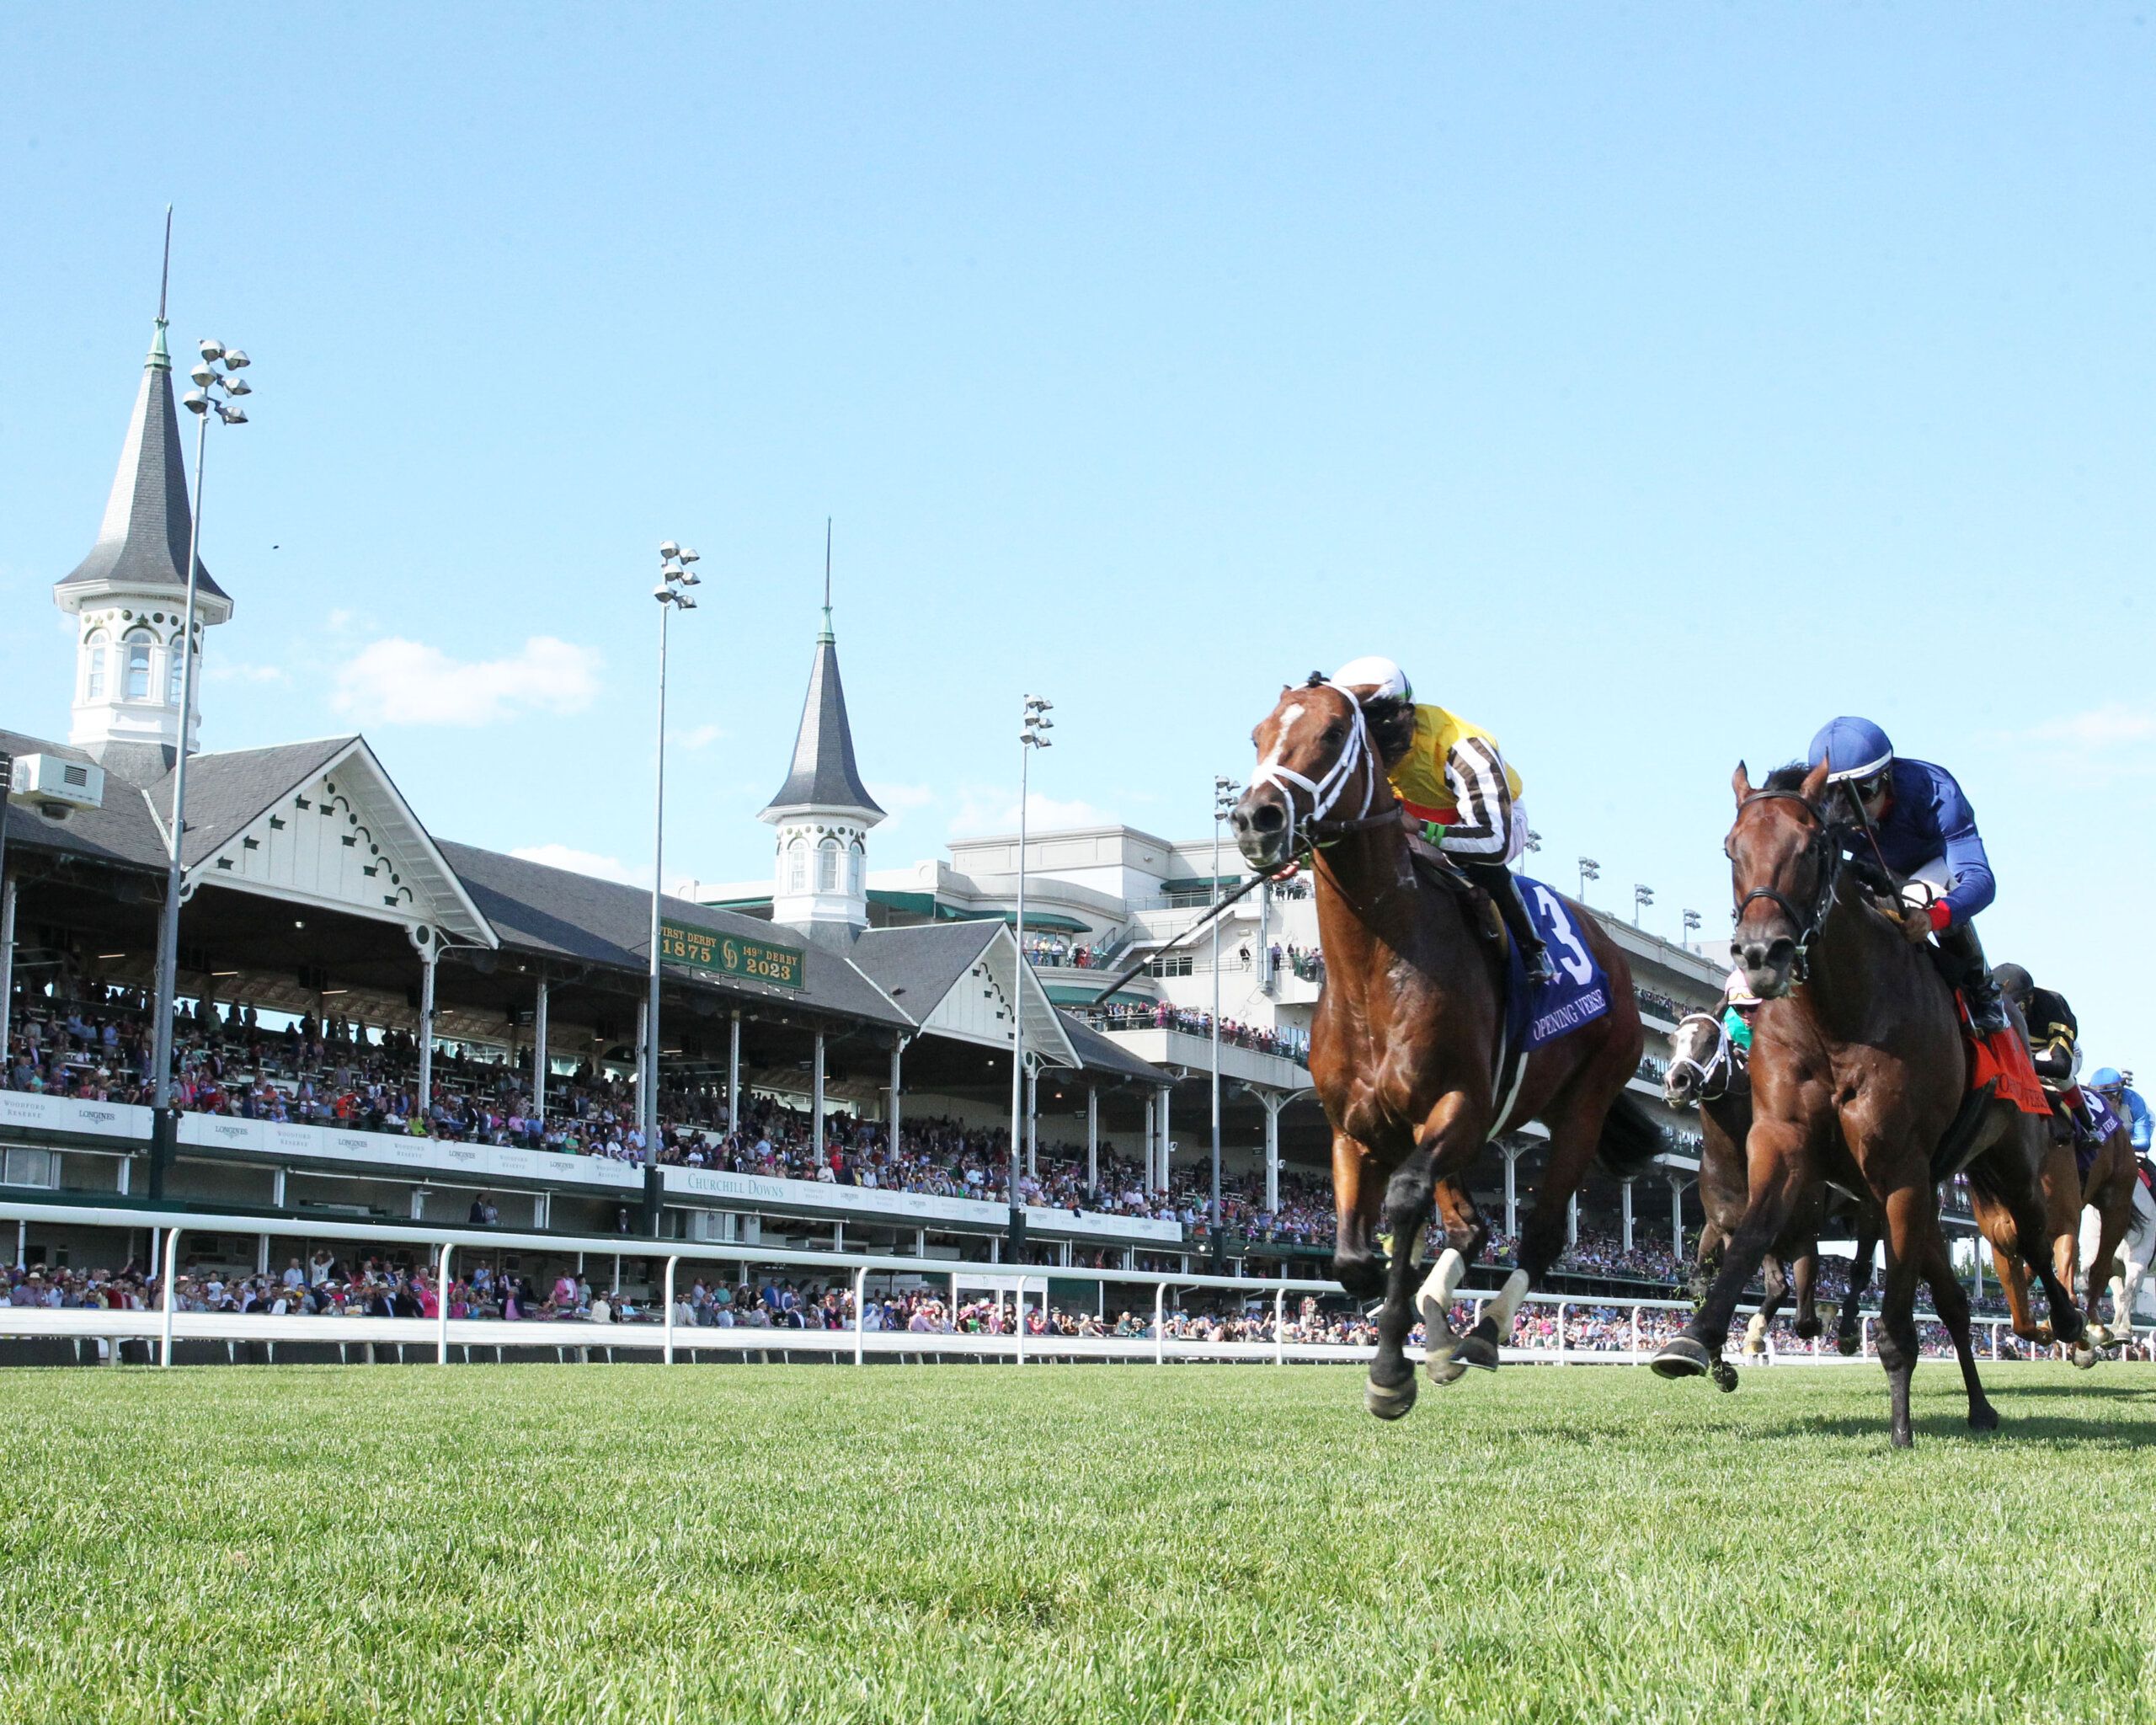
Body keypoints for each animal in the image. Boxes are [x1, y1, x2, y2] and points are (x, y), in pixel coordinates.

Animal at [1233, 672, 1646, 1414]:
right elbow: (1352, 1254)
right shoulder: (1355, 1126)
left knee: (1540, 1230)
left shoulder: (1461, 1106)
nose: (1257, 818)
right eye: (1258, 735)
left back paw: (1481, 1332)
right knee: (1470, 1228)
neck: (1378, 966)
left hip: (1583, 1101)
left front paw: (1391, 1365)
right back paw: (1442, 1327)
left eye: (1332, 733)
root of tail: (1615, 958)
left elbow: (1402, 1205)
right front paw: (1389, 1311)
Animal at [1646, 763, 2069, 1449]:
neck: (1838, 1015)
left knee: (2029, 1234)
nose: (1760, 955)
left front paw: (1899, 1425)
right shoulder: (1784, 1147)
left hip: (2006, 1160)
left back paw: (2071, 1326)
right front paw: (1698, 1341)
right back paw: (1978, 1402)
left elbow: (1893, 1312)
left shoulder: (1900, 1166)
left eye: (1812, 848)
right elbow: (1746, 1251)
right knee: (1952, 1300)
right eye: (1731, 849)